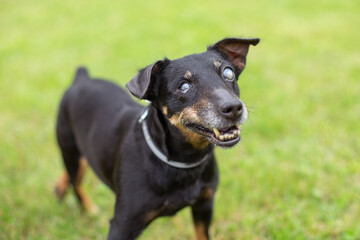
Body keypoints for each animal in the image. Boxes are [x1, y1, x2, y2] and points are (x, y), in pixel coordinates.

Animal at [54, 36, 258, 239]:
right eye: (183, 86)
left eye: (228, 73)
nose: (234, 108)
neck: (182, 161)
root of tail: (81, 78)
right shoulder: (123, 225)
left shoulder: (204, 206)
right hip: (69, 148)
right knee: (75, 182)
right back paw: (88, 207)